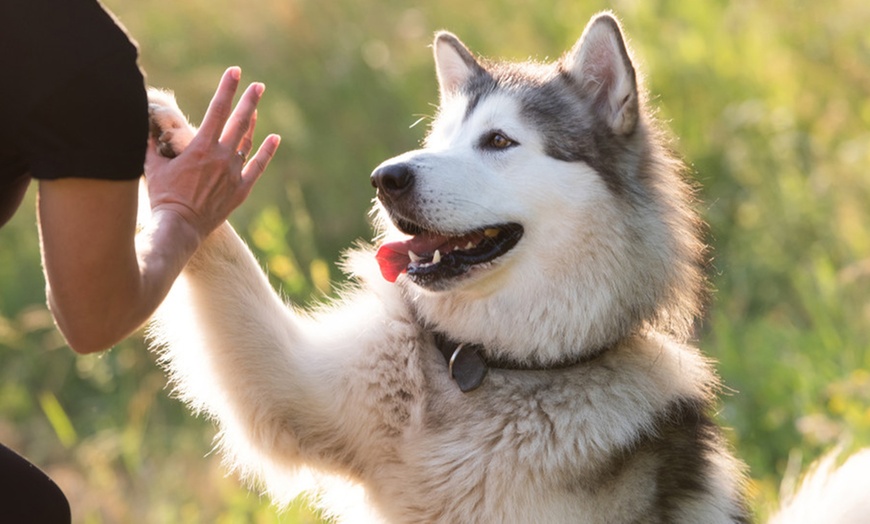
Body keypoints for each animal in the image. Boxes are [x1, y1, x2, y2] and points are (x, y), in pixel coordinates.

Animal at [146, 12, 868, 524]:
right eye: (441, 141)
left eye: (498, 141)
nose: (386, 178)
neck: (492, 366)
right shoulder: (291, 386)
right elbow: (226, 261)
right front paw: (179, 148)